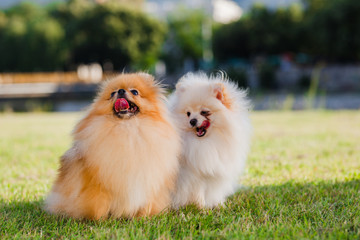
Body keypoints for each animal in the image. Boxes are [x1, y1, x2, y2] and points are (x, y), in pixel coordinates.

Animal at [45, 72, 180, 219]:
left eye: (135, 92)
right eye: (112, 93)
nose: (120, 91)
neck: (127, 129)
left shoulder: (149, 180)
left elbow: (145, 205)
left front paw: (142, 218)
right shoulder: (99, 184)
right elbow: (99, 206)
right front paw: (101, 220)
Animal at [168, 71, 250, 208]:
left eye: (204, 112)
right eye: (188, 113)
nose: (192, 121)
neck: (207, 142)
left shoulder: (213, 172)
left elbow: (212, 191)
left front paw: (217, 204)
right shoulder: (194, 176)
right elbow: (198, 192)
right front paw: (200, 207)